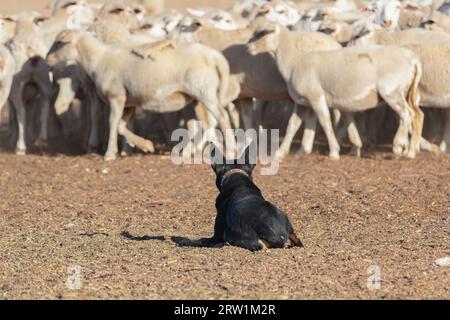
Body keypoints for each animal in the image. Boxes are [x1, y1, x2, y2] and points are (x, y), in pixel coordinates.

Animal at [46, 31, 236, 161]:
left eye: (59, 42)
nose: (47, 60)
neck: (99, 59)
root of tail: (214, 56)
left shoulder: (116, 96)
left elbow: (113, 123)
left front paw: (110, 153)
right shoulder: (129, 102)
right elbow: (122, 126)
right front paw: (143, 146)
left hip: (205, 92)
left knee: (222, 118)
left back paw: (230, 149)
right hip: (198, 98)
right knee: (207, 122)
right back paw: (195, 151)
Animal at [253, 25, 426, 160]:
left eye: (262, 33)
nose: (250, 47)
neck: (293, 63)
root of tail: (413, 59)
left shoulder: (316, 97)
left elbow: (325, 122)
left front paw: (334, 152)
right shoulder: (304, 102)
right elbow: (293, 125)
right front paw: (282, 152)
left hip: (392, 91)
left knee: (407, 114)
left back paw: (398, 146)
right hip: (407, 92)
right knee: (418, 114)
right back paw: (410, 152)